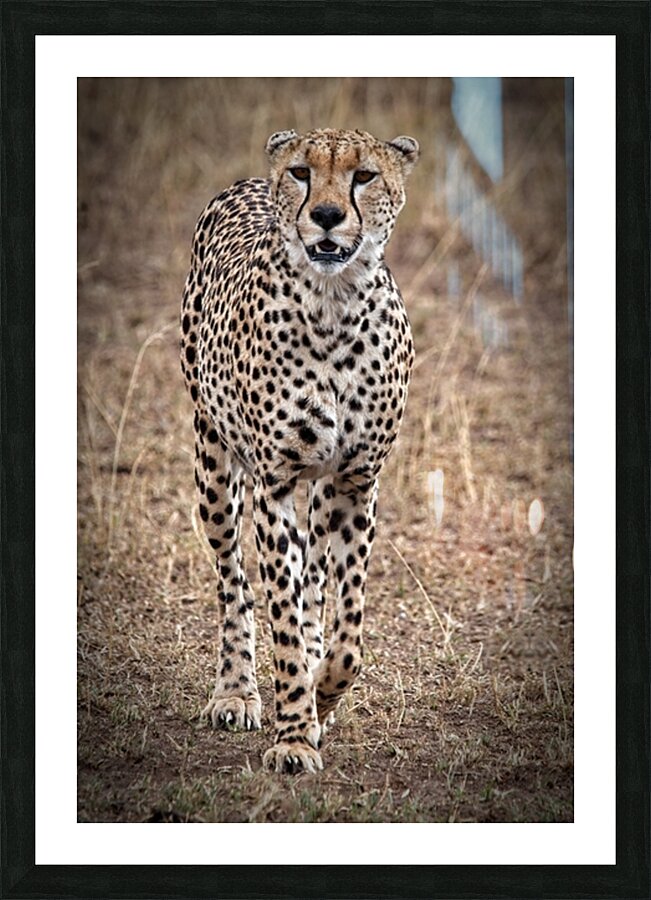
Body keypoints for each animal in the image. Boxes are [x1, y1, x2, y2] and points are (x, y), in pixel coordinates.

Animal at [180, 127, 419, 774]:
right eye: (301, 172)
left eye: (364, 175)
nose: (328, 216)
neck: (333, 302)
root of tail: (242, 183)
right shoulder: (276, 482)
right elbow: (282, 617)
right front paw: (292, 733)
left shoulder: (358, 481)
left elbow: (348, 631)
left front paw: (323, 696)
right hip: (213, 465)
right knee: (234, 583)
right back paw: (237, 692)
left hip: (323, 489)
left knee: (313, 579)